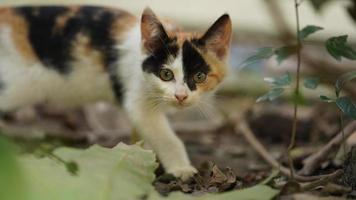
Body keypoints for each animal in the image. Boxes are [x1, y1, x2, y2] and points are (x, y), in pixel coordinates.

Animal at [0, 5, 232, 180]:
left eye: (200, 77)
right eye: (166, 74)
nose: (181, 96)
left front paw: (142, 154)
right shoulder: (138, 100)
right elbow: (166, 137)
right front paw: (181, 169)